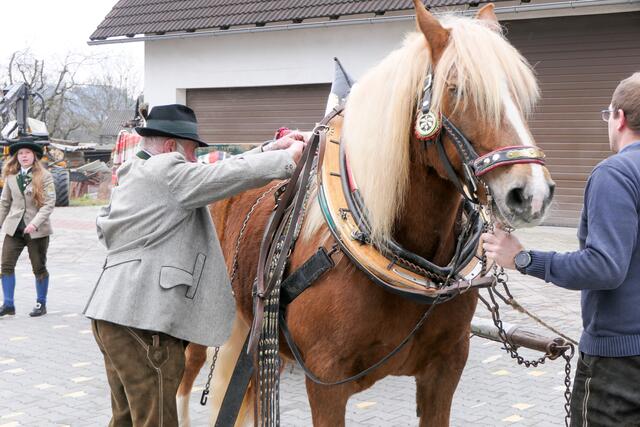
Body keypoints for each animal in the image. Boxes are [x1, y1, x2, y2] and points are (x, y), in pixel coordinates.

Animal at [177, 1, 555, 425]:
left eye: (520, 95)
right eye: (457, 88)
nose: (532, 194)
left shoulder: (445, 370)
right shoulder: (326, 383)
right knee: (186, 377)